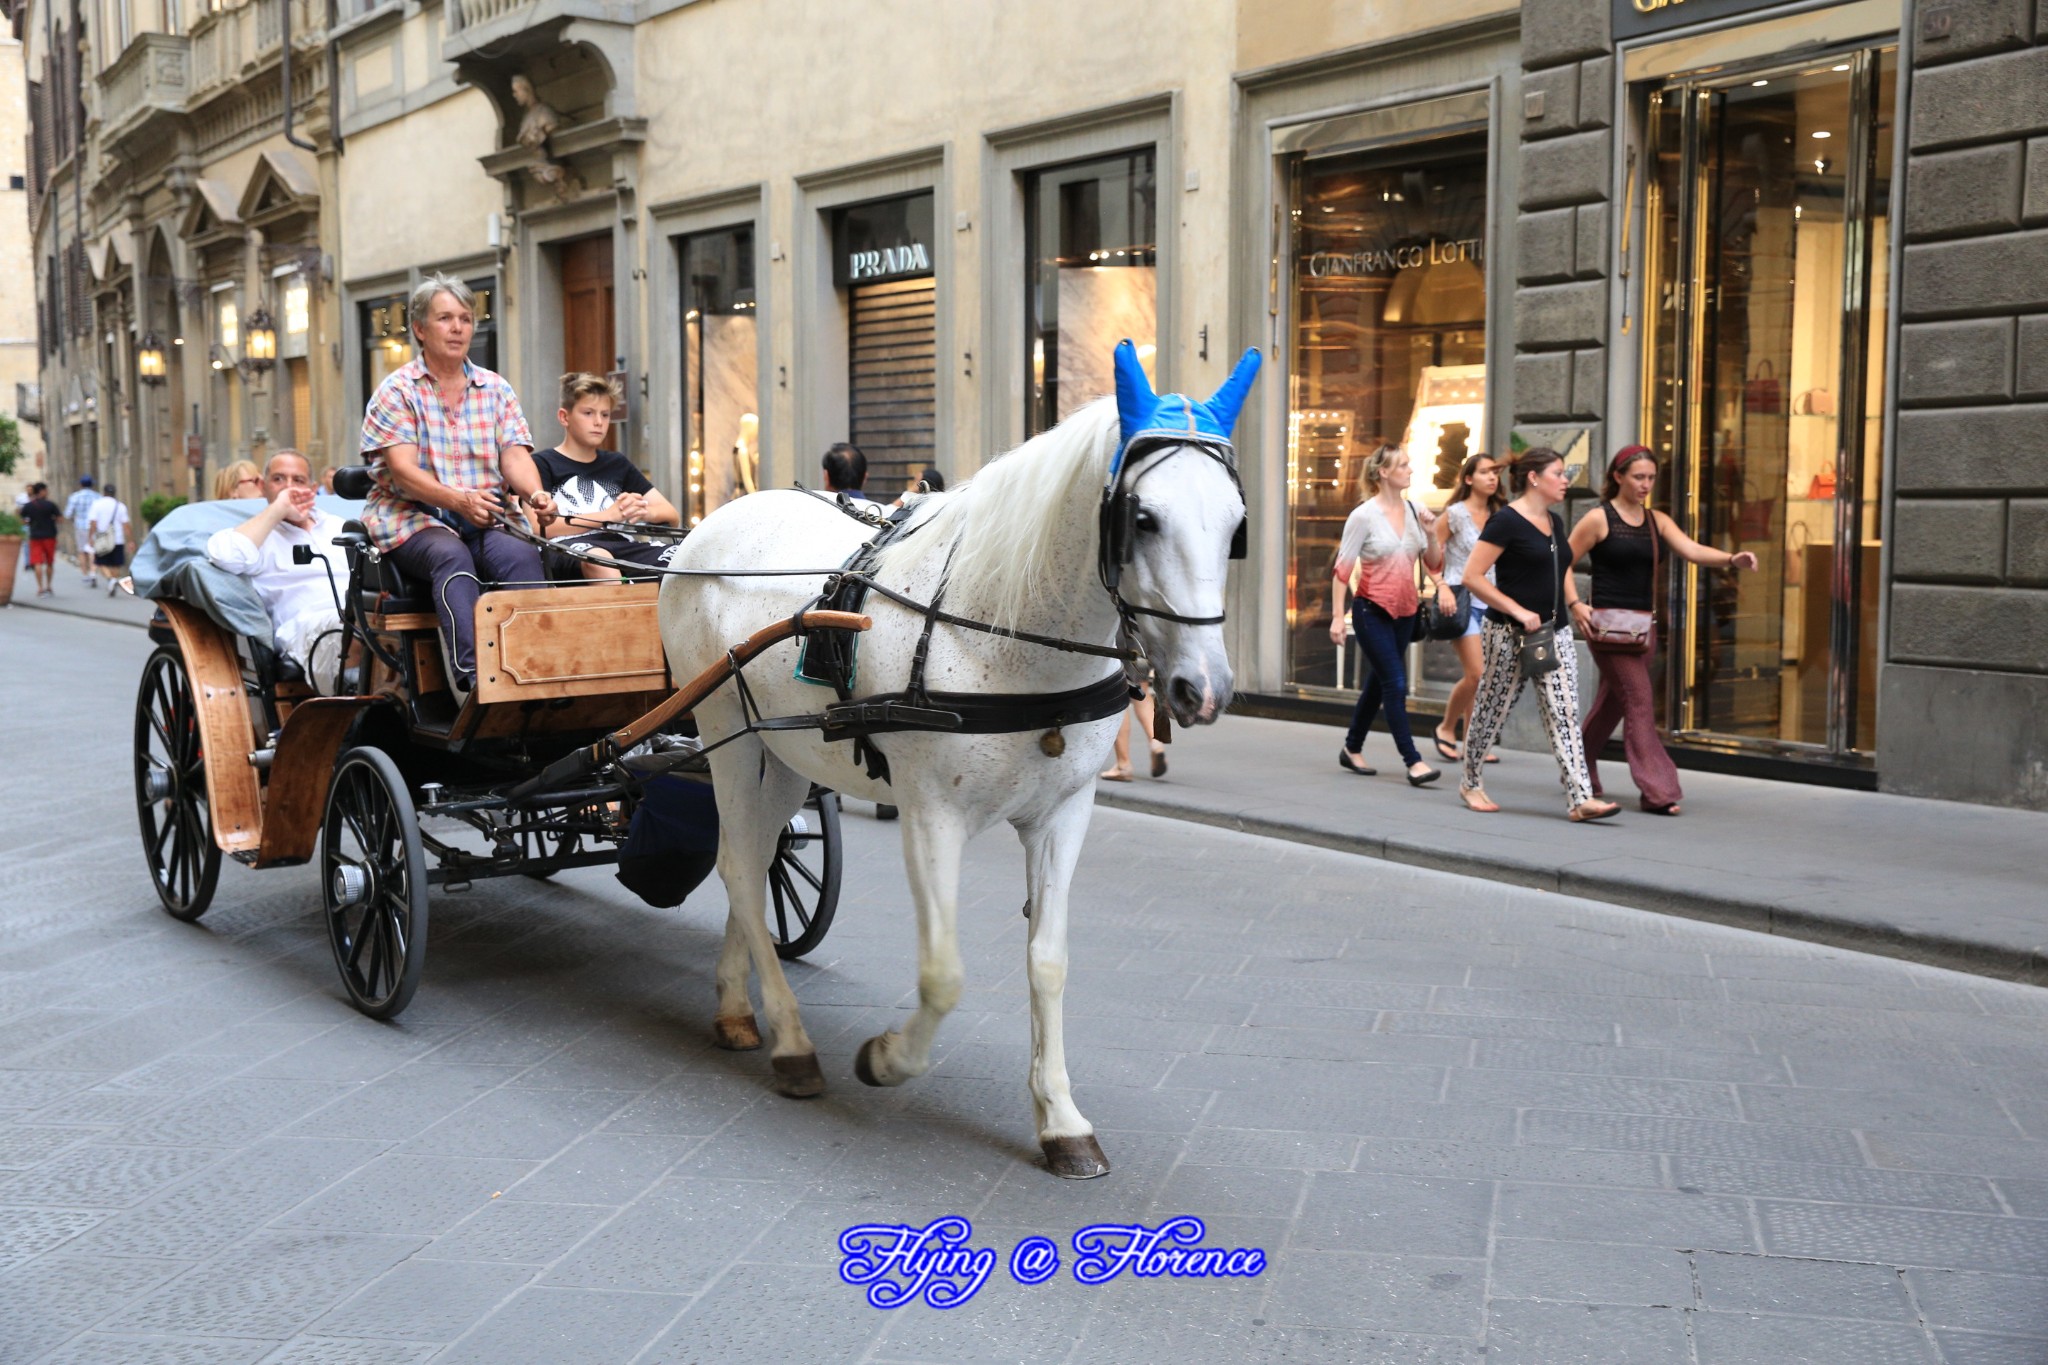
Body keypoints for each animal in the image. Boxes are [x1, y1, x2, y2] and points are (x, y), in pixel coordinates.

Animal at [663, 347, 1253, 1178]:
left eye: (1235, 525)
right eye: (1143, 518)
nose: (1204, 688)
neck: (1006, 632)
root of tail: (704, 529)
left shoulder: (1064, 813)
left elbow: (1049, 960)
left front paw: (1061, 1118)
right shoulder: (929, 814)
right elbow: (944, 974)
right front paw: (885, 1058)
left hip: (784, 750)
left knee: (751, 857)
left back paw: (738, 1007)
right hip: (730, 735)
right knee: (741, 868)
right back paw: (793, 1043)